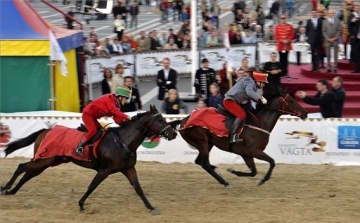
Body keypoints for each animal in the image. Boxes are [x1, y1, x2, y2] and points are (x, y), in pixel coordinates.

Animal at [0, 105, 177, 215]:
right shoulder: (105, 170)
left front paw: (152, 208)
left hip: (47, 162)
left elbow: (138, 189)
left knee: (28, 174)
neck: (123, 141)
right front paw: (81, 205)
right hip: (44, 160)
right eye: (160, 119)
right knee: (21, 166)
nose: (174, 133)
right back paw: (5, 188)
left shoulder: (128, 169)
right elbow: (92, 186)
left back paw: (12, 191)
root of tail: (45, 130)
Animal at [168, 87, 306, 188]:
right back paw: (225, 182)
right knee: (205, 164)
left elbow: (254, 172)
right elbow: (272, 162)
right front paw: (262, 180)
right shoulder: (253, 151)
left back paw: (218, 170)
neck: (259, 123)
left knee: (200, 162)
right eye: (292, 101)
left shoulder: (246, 154)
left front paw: (234, 171)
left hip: (208, 143)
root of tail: (183, 121)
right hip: (202, 142)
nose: (305, 113)